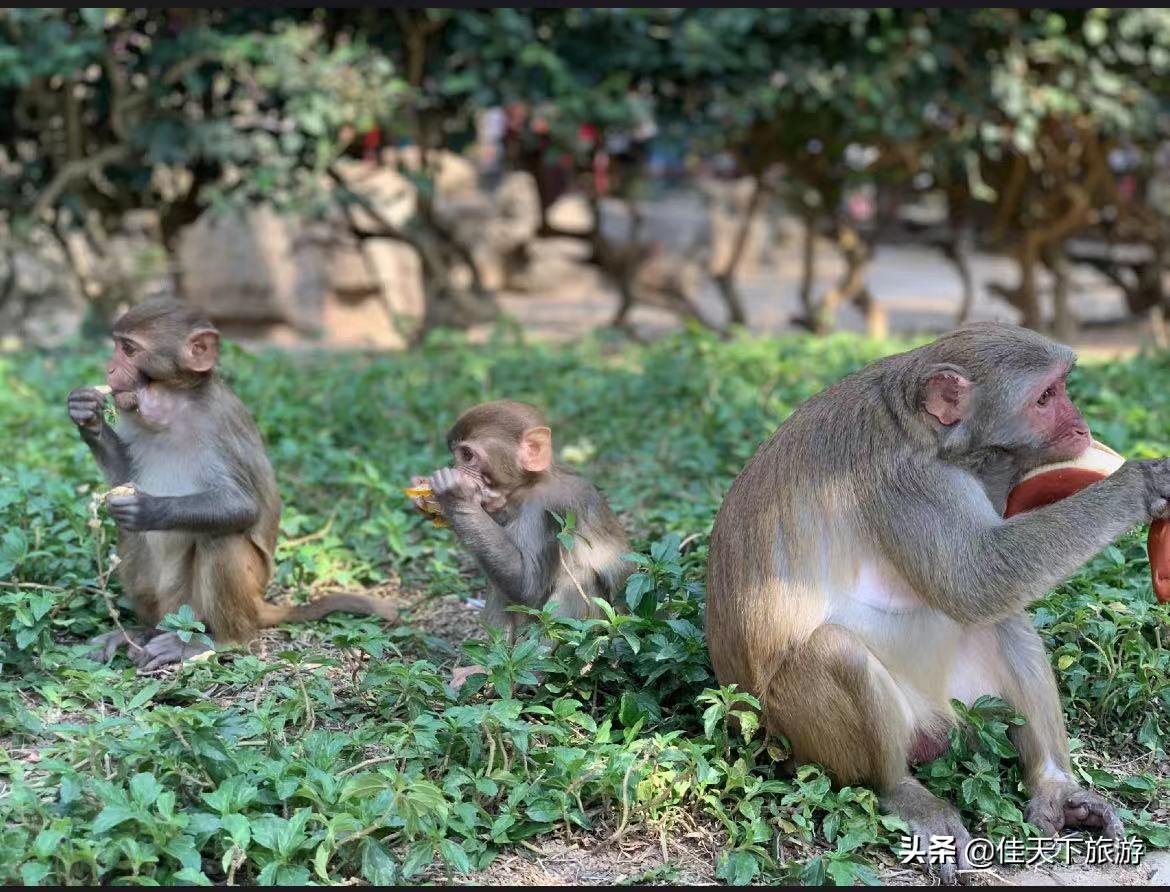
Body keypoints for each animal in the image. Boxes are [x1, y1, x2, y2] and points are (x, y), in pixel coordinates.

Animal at [68, 298, 397, 664]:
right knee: (130, 535)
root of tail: (259, 604)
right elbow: (124, 475)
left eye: (128, 349)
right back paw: (145, 631)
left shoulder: (218, 425)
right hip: (173, 607)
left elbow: (241, 506)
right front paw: (87, 414)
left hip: (217, 602)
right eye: (117, 347)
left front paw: (147, 509)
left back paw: (219, 642)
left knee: (221, 537)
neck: (174, 406)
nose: (109, 369)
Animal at [411, 400, 631, 683]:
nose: (455, 469)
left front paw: (455, 495)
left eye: (467, 456)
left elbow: (527, 586)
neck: (529, 485)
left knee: (580, 579)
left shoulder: (550, 509)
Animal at [702, 323, 1160, 880]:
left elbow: (988, 585)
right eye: (1046, 397)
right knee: (839, 652)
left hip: (963, 708)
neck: (923, 428)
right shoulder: (911, 483)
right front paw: (1138, 484)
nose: (1080, 426)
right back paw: (899, 790)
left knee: (1005, 621)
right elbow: (977, 579)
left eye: (1062, 388)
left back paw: (1055, 787)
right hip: (800, 738)